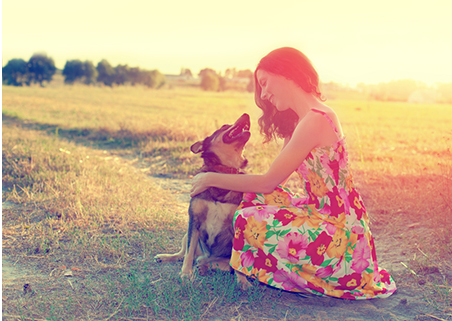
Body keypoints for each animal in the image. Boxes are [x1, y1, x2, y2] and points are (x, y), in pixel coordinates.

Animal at [155, 112, 252, 288]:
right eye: (224, 126)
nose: (246, 114)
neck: (223, 172)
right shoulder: (194, 220)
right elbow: (188, 253)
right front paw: (186, 274)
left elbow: (237, 263)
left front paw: (242, 281)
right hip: (187, 234)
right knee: (184, 253)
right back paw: (167, 257)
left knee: (217, 264)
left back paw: (203, 266)